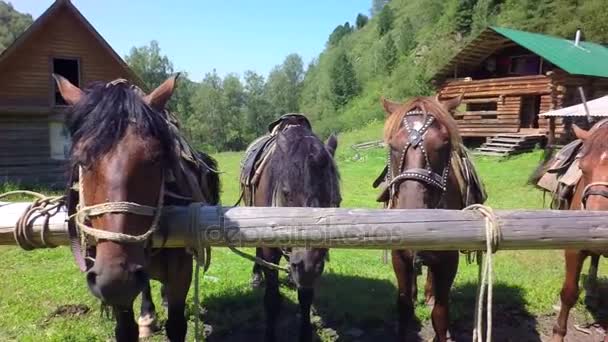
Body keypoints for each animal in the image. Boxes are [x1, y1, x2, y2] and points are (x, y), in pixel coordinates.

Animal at [52, 73, 218, 340]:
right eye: (80, 159)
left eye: (156, 158)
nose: (116, 279)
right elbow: (125, 329)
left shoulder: (181, 273)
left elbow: (176, 324)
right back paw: (147, 317)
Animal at [241, 115, 342, 342]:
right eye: (286, 193)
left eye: (336, 201)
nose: (307, 267)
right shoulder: (269, 248)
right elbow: (271, 300)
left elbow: (305, 298)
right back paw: (256, 277)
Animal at [380, 95, 466, 342]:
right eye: (392, 146)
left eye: (444, 144)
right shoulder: (399, 257)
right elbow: (404, 305)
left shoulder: (449, 261)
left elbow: (441, 312)